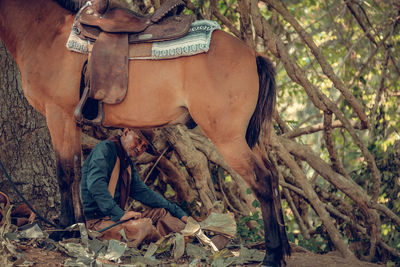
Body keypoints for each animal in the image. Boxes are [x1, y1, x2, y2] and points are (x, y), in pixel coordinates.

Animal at [0, 0, 290, 266]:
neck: (47, 34)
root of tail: (253, 55)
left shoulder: (58, 115)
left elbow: (65, 174)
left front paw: (64, 229)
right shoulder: (71, 122)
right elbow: (75, 171)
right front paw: (78, 228)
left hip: (228, 138)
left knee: (263, 181)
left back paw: (272, 255)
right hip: (249, 139)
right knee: (274, 176)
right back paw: (283, 249)